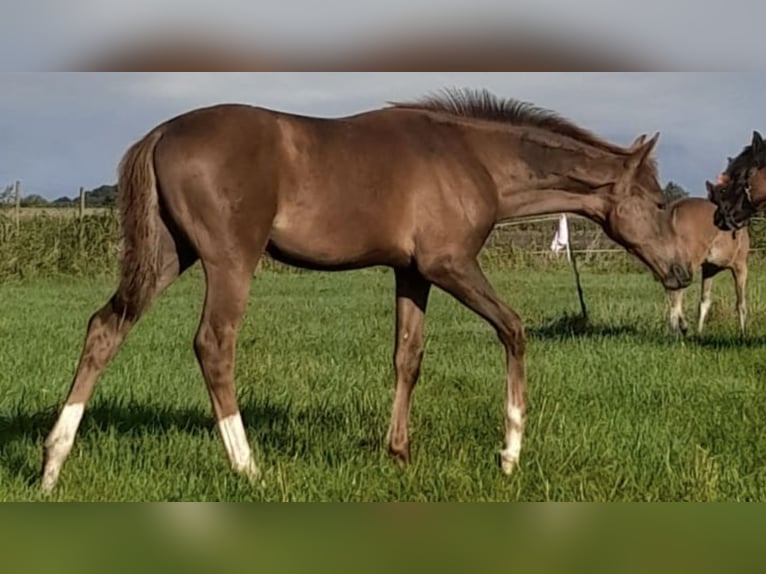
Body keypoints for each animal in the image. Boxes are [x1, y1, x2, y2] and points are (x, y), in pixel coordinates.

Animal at [45, 88, 700, 492]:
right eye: (658, 201)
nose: (681, 272)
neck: (472, 159)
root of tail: (159, 133)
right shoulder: (449, 264)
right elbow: (513, 328)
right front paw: (510, 454)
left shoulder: (412, 273)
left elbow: (408, 356)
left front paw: (399, 452)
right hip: (230, 260)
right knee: (214, 344)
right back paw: (248, 467)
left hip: (165, 255)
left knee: (105, 328)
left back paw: (53, 463)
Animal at [664, 194, 752, 338]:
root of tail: (674, 208)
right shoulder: (740, 266)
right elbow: (741, 304)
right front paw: (743, 335)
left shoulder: (709, 269)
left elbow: (704, 302)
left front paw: (699, 334)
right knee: (676, 292)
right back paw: (676, 329)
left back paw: (683, 327)